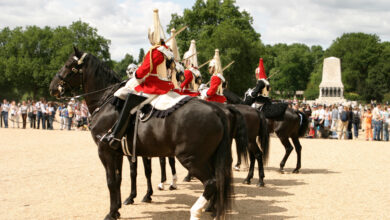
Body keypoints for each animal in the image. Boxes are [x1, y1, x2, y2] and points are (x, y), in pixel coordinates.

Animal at [51, 48, 235, 220]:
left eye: (69, 65)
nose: (52, 87)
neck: (106, 101)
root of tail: (216, 110)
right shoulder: (117, 153)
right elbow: (118, 179)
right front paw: (118, 208)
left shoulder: (105, 151)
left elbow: (111, 181)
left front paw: (112, 212)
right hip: (207, 157)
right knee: (218, 180)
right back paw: (212, 209)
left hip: (190, 158)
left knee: (211, 182)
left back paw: (196, 211)